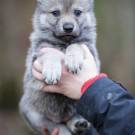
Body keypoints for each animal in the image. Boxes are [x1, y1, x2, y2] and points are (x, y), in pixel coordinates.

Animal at [19, 0, 100, 134]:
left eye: (77, 12)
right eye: (55, 13)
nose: (68, 27)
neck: (64, 43)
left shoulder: (91, 52)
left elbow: (76, 45)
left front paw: (73, 59)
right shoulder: (36, 58)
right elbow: (51, 53)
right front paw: (52, 71)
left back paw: (78, 123)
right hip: (35, 115)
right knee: (58, 127)